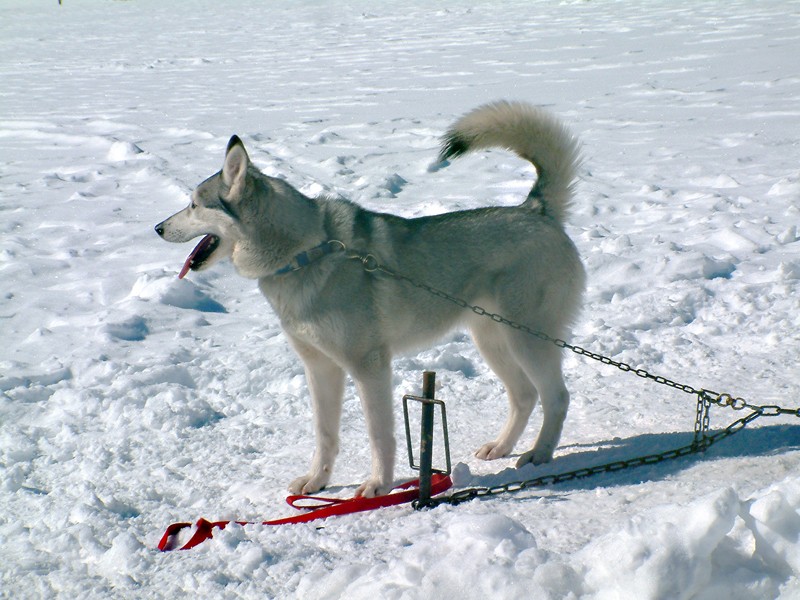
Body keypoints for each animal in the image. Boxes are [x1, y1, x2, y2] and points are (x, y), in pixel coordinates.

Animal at [155, 102, 580, 496]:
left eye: (193, 204)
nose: (157, 227)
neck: (306, 253)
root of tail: (536, 210)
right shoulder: (321, 368)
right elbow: (325, 434)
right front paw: (317, 481)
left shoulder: (369, 366)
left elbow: (379, 435)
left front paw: (379, 485)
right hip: (493, 340)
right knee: (525, 396)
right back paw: (501, 447)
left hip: (527, 341)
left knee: (557, 397)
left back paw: (539, 453)